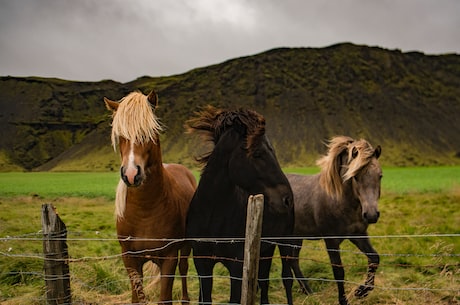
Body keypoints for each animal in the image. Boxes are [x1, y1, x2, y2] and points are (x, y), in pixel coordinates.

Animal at [103, 89, 197, 302]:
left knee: (184, 268)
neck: (145, 210)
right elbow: (136, 297)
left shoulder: (169, 257)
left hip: (185, 247)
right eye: (120, 135)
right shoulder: (129, 258)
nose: (131, 174)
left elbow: (165, 297)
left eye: (148, 133)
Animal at [186, 105, 294, 302]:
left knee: (287, 279)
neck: (213, 216)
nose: (287, 199)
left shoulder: (237, 267)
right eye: (258, 153)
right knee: (264, 281)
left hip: (285, 244)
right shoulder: (202, 263)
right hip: (265, 250)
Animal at [290, 136, 382, 304]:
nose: (371, 214)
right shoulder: (331, 241)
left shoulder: (358, 235)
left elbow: (374, 258)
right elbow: (339, 272)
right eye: (355, 176)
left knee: (293, 260)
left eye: (380, 175)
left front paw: (361, 291)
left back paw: (308, 291)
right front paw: (343, 300)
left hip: (296, 236)